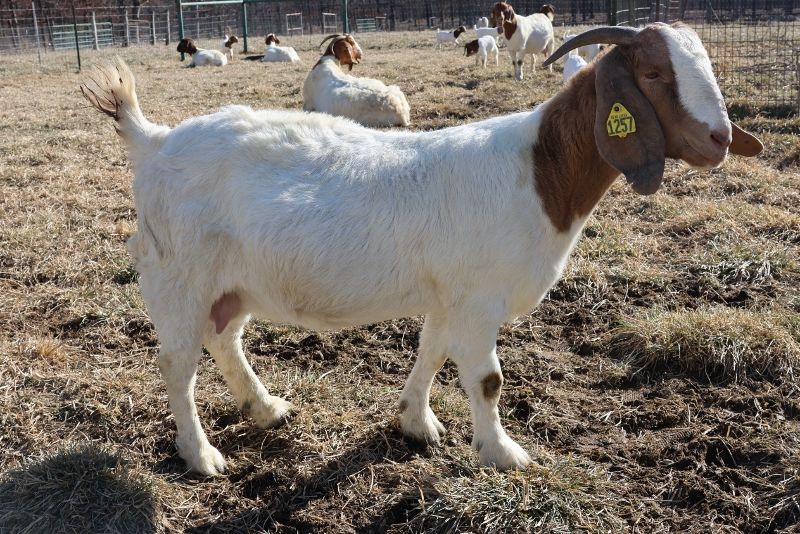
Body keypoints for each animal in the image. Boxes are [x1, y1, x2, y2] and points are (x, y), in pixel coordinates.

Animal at [81, 24, 764, 478]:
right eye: (652, 75)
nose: (719, 138)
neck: (538, 172)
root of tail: (153, 140)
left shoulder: (450, 296)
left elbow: (432, 351)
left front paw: (416, 423)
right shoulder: (479, 298)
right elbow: (486, 379)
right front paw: (504, 452)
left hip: (234, 283)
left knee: (225, 339)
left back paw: (266, 408)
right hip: (178, 277)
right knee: (178, 365)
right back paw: (202, 456)